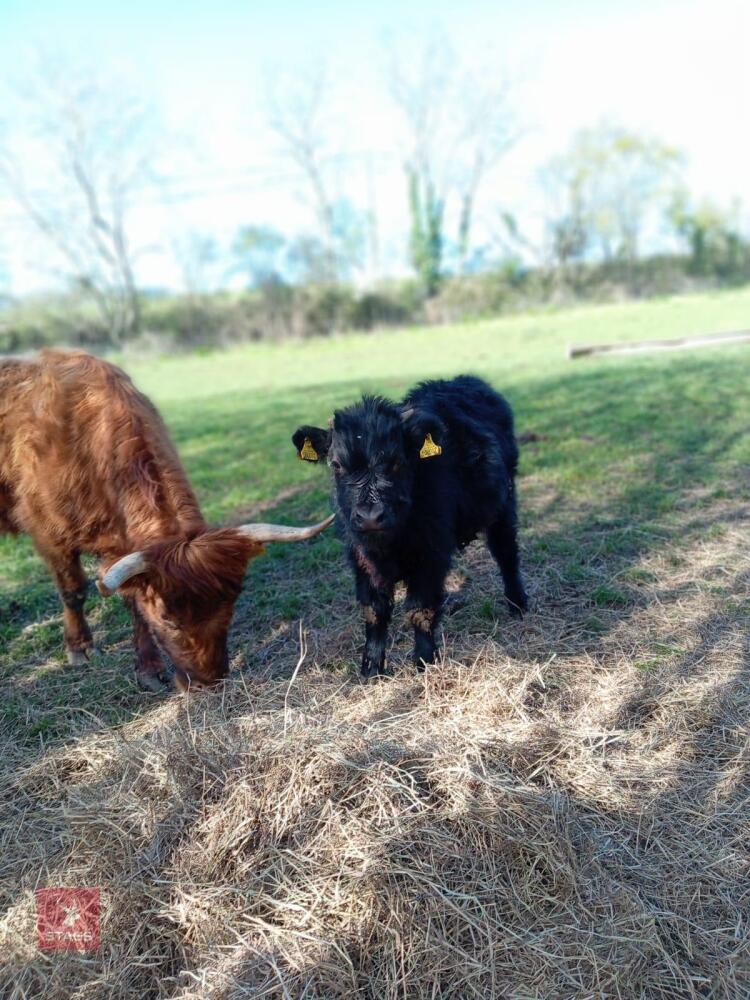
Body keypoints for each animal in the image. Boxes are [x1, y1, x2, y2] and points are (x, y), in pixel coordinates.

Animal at [0, 349, 333, 691]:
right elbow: (73, 590)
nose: (208, 680)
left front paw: (149, 669)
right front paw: (79, 648)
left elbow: (134, 602)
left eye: (230, 603)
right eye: (168, 620)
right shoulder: (48, 533)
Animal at [292, 375, 527, 678]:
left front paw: (424, 661)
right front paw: (371, 668)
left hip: (504, 504)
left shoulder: (431, 554)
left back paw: (517, 604)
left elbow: (420, 610)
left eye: (397, 462)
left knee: (506, 552)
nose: (370, 516)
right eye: (336, 464)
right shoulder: (360, 558)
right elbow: (374, 610)